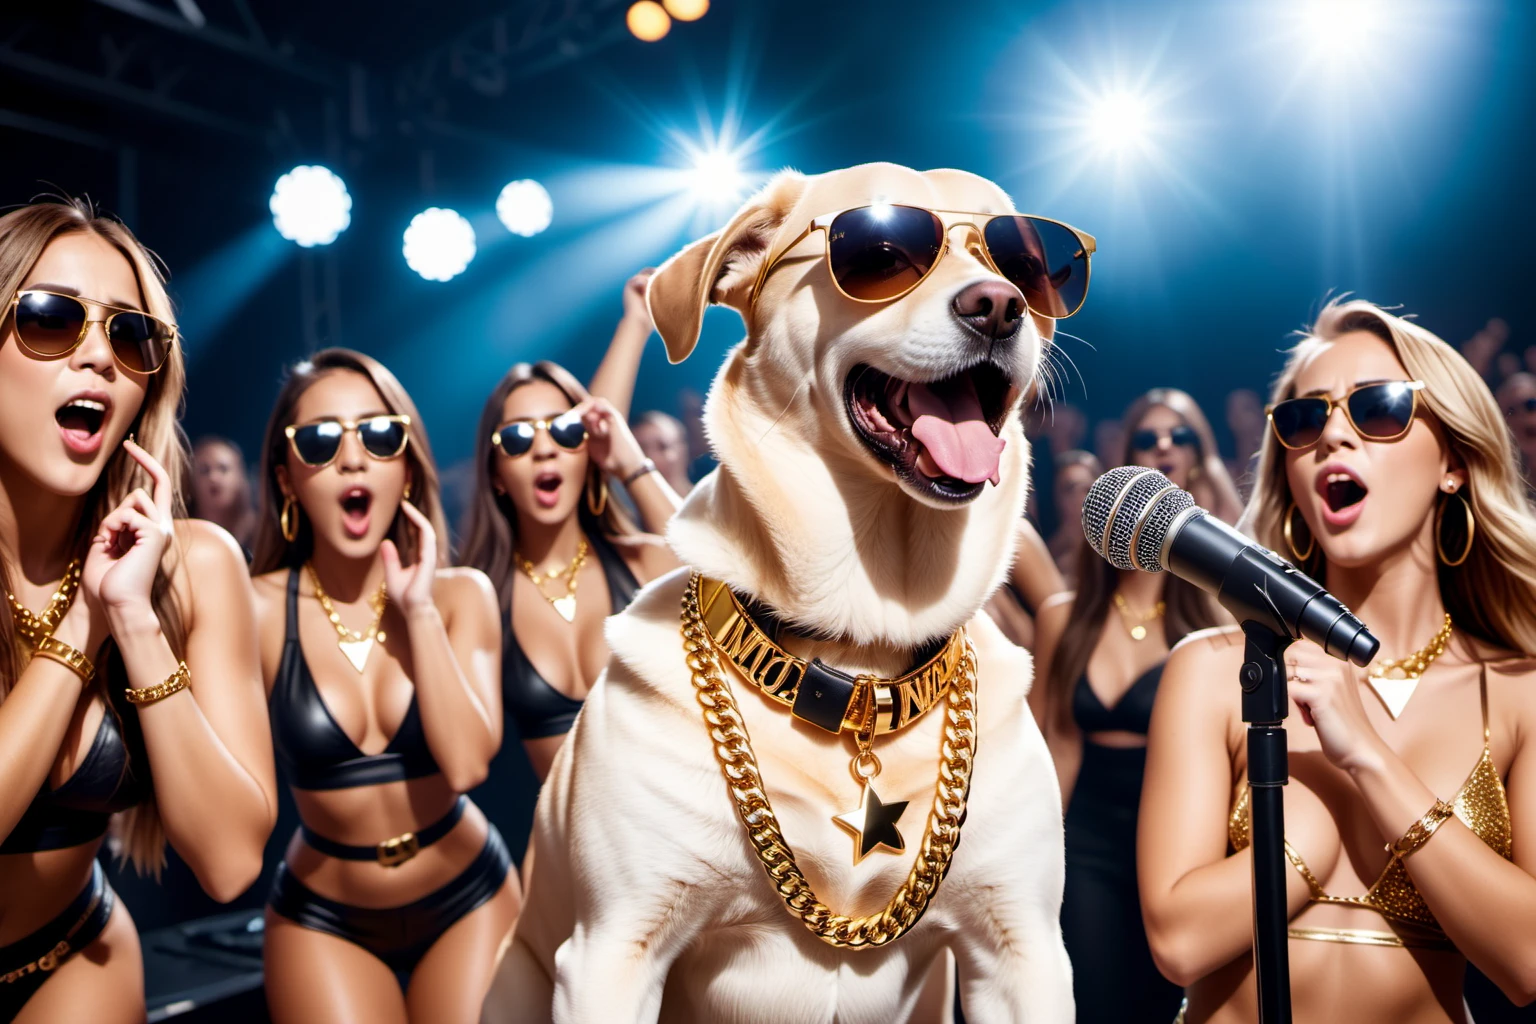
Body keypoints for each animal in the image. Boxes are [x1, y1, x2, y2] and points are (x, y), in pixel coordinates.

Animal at [485, 164, 1075, 1019]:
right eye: (882, 251)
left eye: (1025, 263)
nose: (997, 304)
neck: (859, 658)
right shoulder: (614, 952)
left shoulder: (1022, 951)